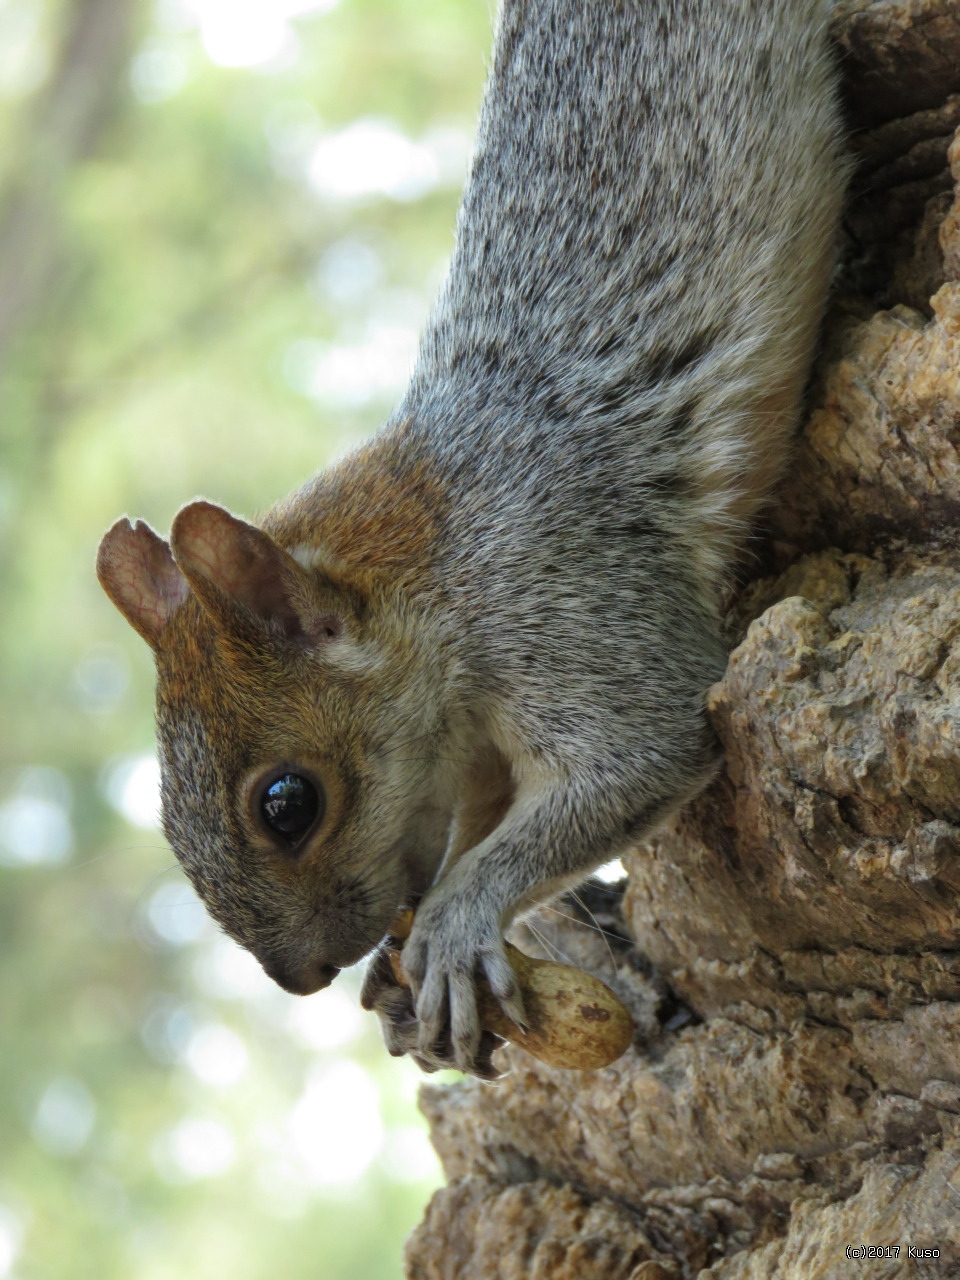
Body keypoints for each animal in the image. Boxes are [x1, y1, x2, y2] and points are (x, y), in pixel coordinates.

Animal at [96, 0, 849, 1080]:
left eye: (287, 803)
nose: (300, 977)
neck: (435, 572)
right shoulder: (480, 757)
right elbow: (483, 825)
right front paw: (403, 974)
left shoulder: (571, 599)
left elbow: (640, 750)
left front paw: (455, 922)